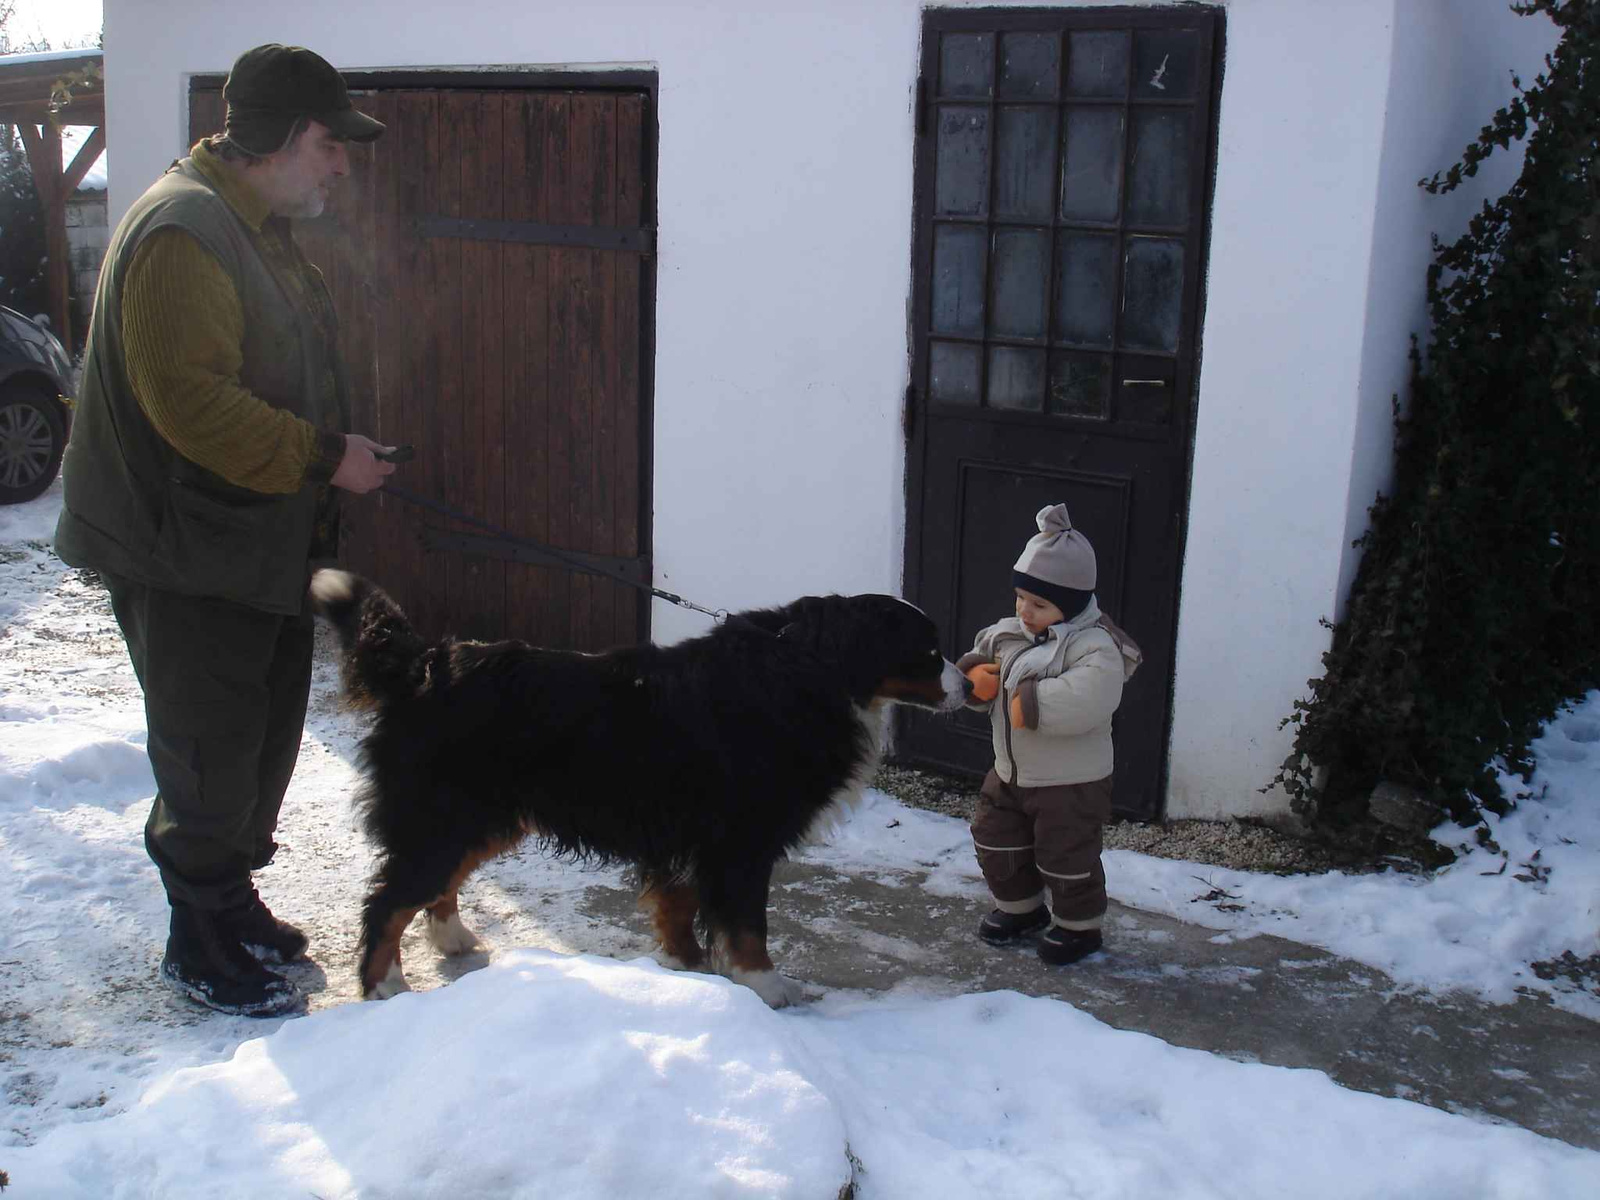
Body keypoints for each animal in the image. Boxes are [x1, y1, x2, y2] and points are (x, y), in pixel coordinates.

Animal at [305, 569, 966, 1011]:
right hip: (448, 817)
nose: (968, 686)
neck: (809, 670)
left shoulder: (690, 834)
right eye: (929, 649)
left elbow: (680, 907)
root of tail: (426, 665)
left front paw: (687, 968)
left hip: (482, 818)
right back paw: (385, 984)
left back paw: (453, 939)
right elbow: (748, 925)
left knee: (434, 886)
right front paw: (765, 985)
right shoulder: (740, 842)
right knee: (388, 902)